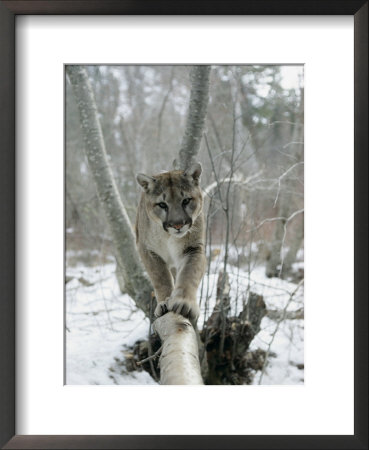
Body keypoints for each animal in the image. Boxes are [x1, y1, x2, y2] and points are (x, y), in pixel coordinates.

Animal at [135, 163, 206, 324]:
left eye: (186, 200)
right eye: (162, 204)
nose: (178, 225)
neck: (169, 237)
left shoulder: (193, 248)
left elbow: (189, 274)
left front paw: (184, 303)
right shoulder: (147, 250)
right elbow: (161, 278)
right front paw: (164, 302)